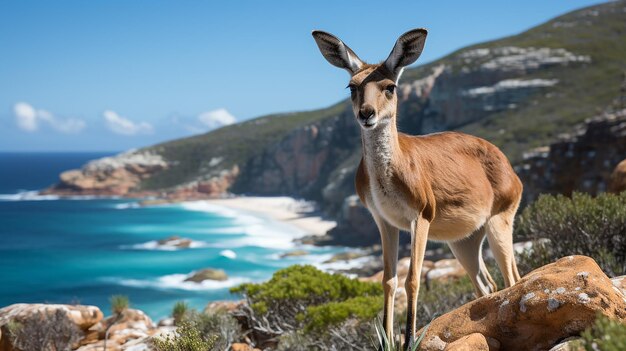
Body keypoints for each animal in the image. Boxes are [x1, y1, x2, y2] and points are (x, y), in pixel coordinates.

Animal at [312, 29, 520, 350]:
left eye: (390, 86)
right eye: (352, 86)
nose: (366, 113)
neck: (390, 174)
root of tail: (510, 168)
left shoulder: (421, 216)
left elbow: (412, 278)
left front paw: (409, 339)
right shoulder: (384, 220)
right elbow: (389, 280)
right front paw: (388, 339)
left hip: (500, 222)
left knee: (512, 278)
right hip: (464, 241)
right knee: (488, 284)